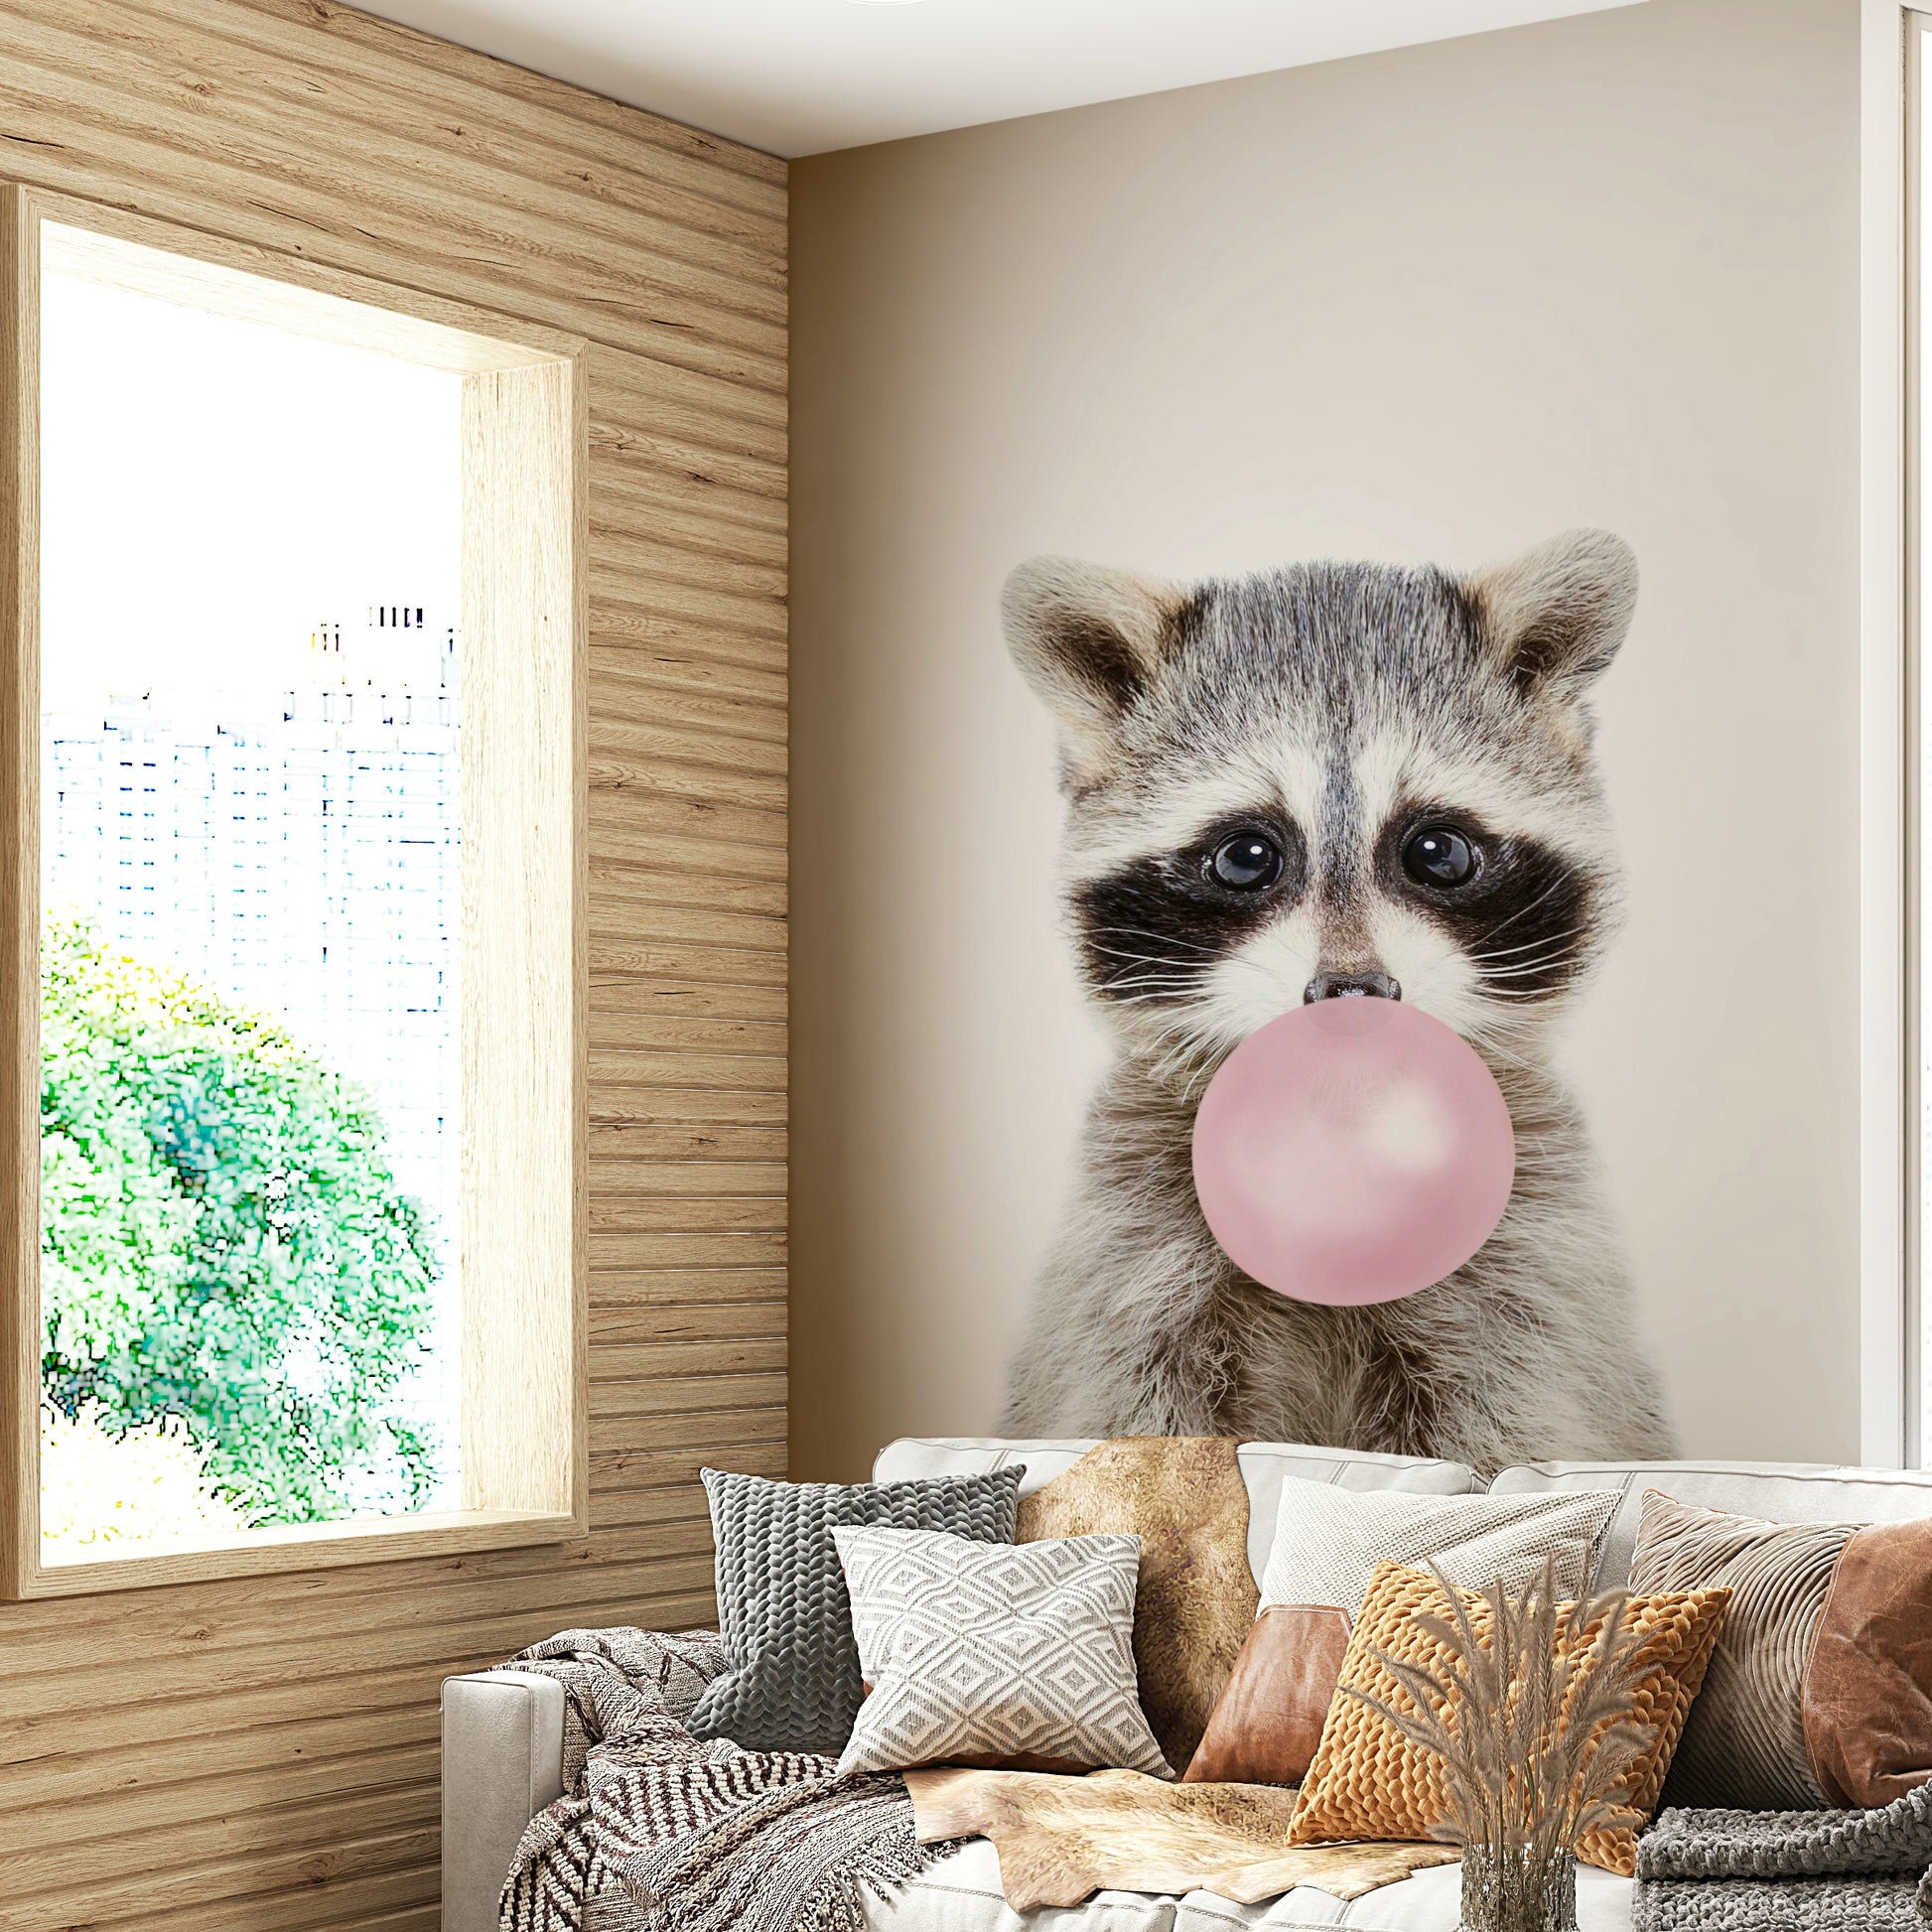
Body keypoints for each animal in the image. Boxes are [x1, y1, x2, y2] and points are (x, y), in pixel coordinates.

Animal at [998, 529, 1676, 1473]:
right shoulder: (1136, 1260)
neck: (1342, 1129)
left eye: (1437, 850)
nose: (1352, 993)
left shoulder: (1526, 1267)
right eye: (1246, 856)